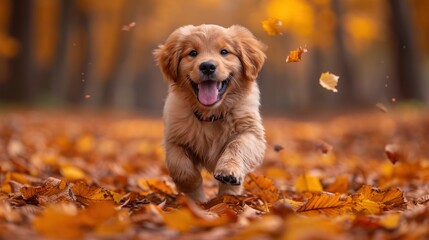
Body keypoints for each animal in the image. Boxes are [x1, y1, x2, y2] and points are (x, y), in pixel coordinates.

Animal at [154, 24, 266, 202]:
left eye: (224, 52)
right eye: (193, 53)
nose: (207, 66)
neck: (210, 114)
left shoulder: (252, 132)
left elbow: (236, 145)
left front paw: (228, 171)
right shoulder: (174, 138)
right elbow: (180, 166)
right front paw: (194, 190)